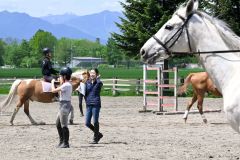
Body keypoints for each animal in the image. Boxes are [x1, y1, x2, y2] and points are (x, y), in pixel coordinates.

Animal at [141, 0, 240, 132]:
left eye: (168, 26)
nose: (143, 51)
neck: (231, 74)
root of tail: (194, 74)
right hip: (199, 92)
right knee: (195, 104)